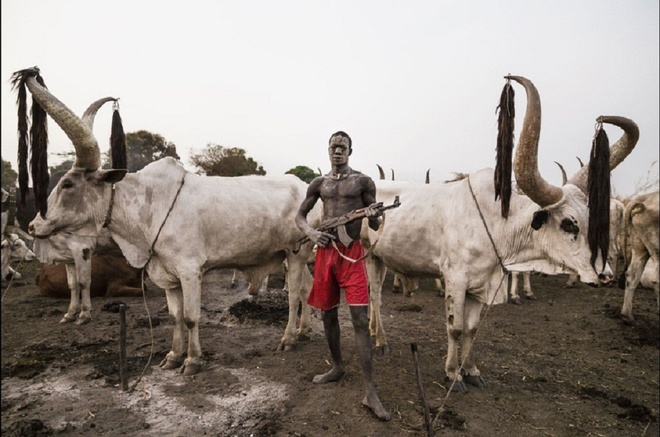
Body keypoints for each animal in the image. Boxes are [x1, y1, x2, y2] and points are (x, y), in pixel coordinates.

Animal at [364, 75, 636, 392]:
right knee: (376, 296)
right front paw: (452, 374)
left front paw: (471, 371)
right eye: (569, 223)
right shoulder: (455, 279)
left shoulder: (481, 285)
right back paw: (380, 342)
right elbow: (455, 328)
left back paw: (375, 334)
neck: (496, 224)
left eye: (593, 219)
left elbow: (471, 329)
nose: (604, 275)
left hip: (381, 258)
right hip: (367, 257)